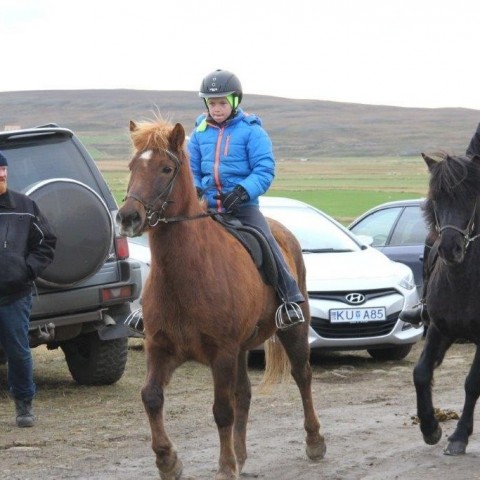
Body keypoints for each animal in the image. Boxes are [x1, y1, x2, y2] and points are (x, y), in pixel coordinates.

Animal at [116, 119, 326, 480]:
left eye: (166, 168)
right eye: (132, 166)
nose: (128, 217)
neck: (184, 276)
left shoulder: (222, 354)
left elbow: (222, 410)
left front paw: (226, 467)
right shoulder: (160, 347)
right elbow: (151, 397)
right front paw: (168, 460)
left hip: (292, 330)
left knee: (303, 377)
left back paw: (314, 442)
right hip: (241, 348)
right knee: (245, 393)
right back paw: (241, 454)